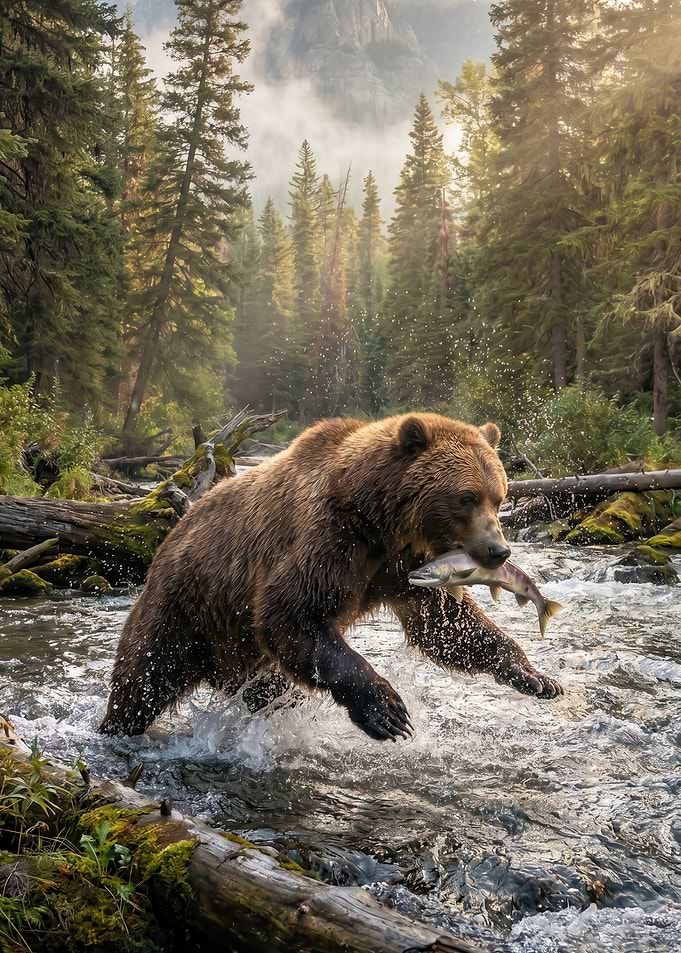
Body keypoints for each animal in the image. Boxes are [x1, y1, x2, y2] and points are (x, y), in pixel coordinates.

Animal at [100, 413, 563, 740]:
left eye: (499, 496)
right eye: (466, 497)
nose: (498, 550)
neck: (379, 518)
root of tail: (171, 534)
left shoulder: (400, 566)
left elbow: (445, 625)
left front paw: (536, 677)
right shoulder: (329, 539)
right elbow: (293, 613)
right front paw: (387, 711)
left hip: (236, 646)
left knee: (267, 689)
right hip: (186, 604)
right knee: (143, 676)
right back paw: (115, 729)